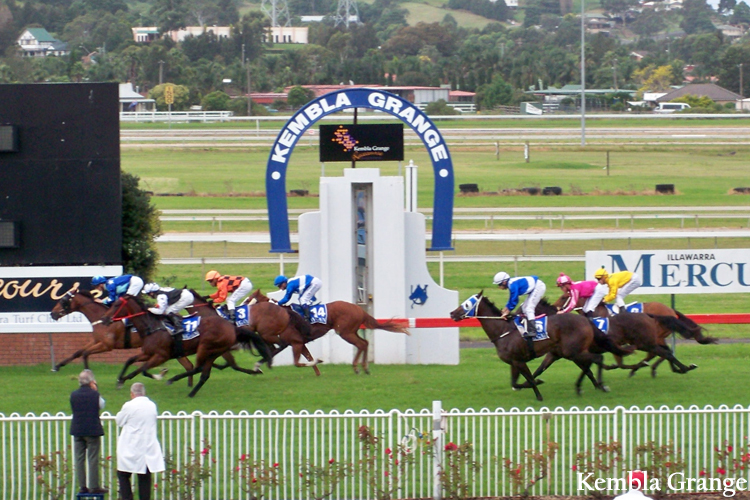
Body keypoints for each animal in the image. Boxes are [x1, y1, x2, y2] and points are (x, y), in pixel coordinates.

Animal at [103, 294, 262, 396]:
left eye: (116, 305)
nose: (104, 319)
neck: (152, 327)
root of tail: (231, 327)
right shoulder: (147, 353)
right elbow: (131, 361)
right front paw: (120, 380)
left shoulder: (162, 356)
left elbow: (143, 369)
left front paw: (160, 375)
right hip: (216, 351)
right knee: (205, 373)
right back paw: (191, 393)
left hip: (205, 347)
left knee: (198, 368)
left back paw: (173, 380)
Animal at [248, 290, 412, 376]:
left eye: (249, 300)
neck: (281, 314)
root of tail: (359, 309)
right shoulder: (296, 343)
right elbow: (307, 357)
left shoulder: (295, 342)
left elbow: (299, 360)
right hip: (351, 331)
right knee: (365, 343)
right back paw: (365, 367)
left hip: (345, 332)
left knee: (361, 344)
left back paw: (357, 367)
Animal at [452, 292, 636, 400]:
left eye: (467, 304)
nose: (452, 313)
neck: (503, 331)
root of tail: (586, 320)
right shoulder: (516, 361)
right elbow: (518, 381)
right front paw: (534, 385)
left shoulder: (520, 361)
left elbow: (529, 379)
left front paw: (538, 393)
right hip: (573, 352)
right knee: (593, 361)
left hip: (572, 351)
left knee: (597, 358)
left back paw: (601, 384)